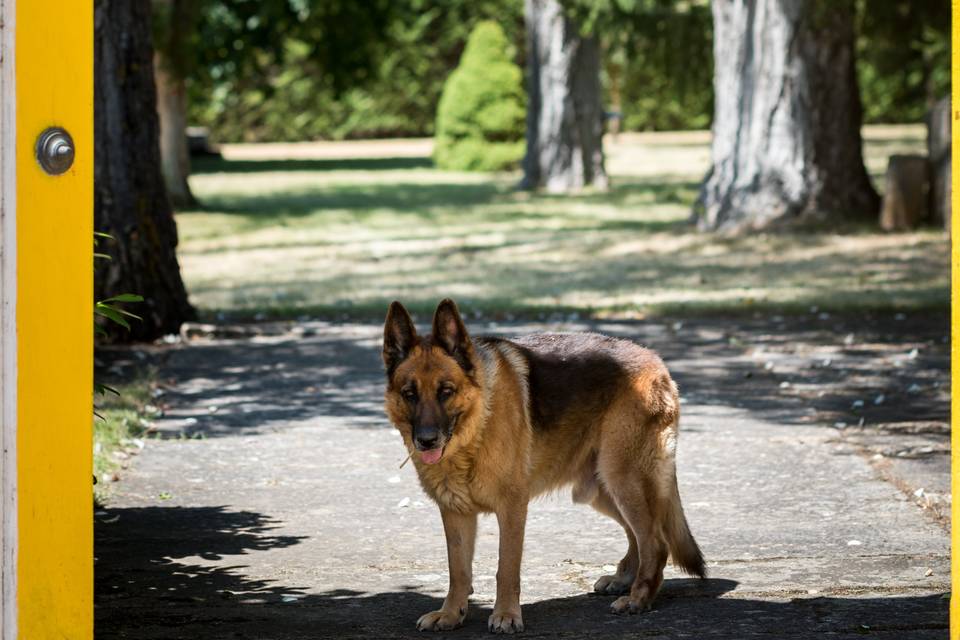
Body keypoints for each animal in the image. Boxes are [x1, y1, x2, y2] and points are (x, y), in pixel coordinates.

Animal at [382, 298, 704, 632]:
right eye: (409, 394)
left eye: (446, 391)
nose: (426, 440)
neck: (476, 426)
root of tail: (655, 360)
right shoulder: (456, 513)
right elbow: (458, 571)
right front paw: (450, 613)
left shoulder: (512, 509)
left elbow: (506, 568)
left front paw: (506, 615)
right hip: (603, 490)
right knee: (638, 534)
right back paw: (623, 579)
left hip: (623, 479)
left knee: (655, 541)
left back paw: (638, 598)